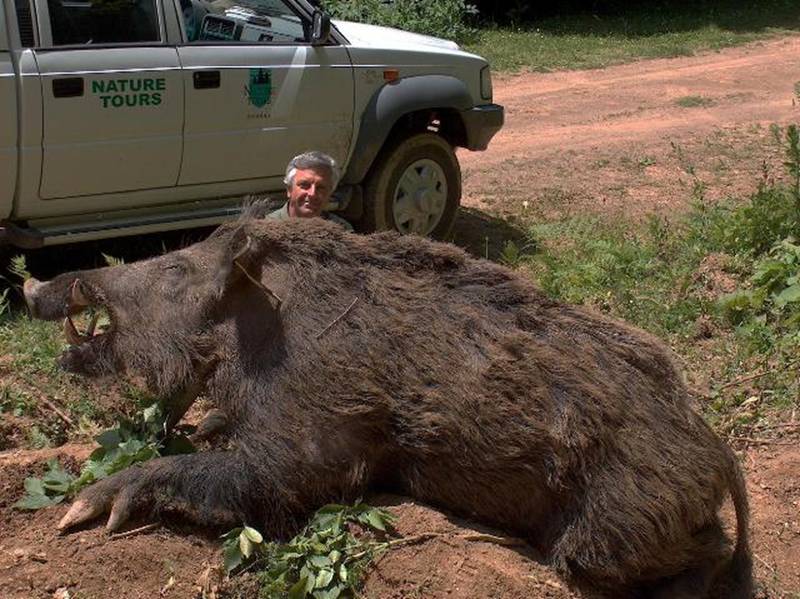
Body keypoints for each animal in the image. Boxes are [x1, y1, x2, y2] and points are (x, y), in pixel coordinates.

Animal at [23, 208, 752, 598]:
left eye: (176, 269)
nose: (36, 286)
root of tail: (718, 452)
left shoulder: (320, 444)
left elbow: (257, 477)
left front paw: (79, 513)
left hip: (612, 530)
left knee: (699, 554)